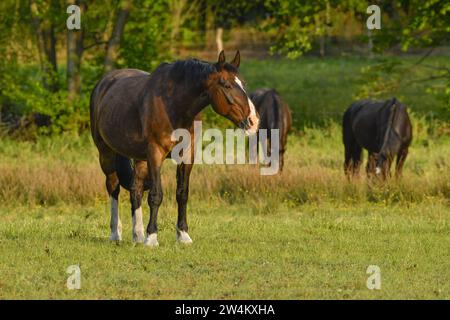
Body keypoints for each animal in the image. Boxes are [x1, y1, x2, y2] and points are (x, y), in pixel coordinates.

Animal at [89, 51, 258, 248]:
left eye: (243, 84)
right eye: (226, 84)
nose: (253, 121)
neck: (174, 105)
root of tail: (104, 83)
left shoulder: (187, 156)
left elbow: (182, 193)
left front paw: (183, 235)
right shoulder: (155, 155)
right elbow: (156, 195)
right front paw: (152, 237)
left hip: (140, 158)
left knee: (135, 190)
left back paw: (138, 234)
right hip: (106, 152)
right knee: (113, 187)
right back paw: (116, 233)